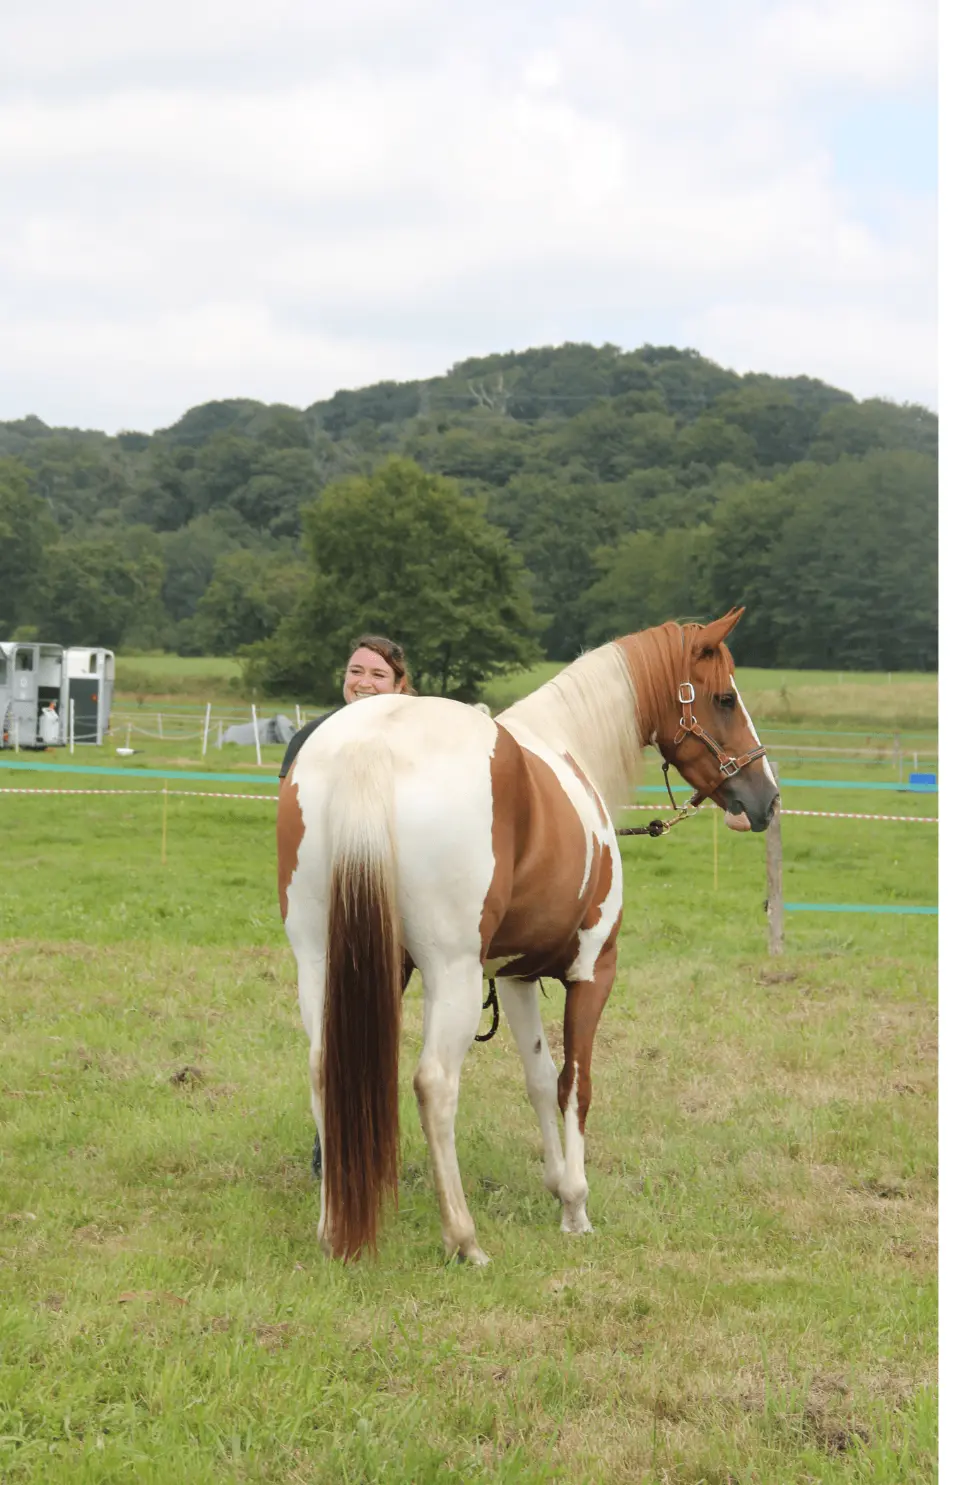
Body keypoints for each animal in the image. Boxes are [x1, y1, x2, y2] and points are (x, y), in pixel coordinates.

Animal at [276, 608, 778, 1259]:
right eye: (724, 698)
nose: (766, 798)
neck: (567, 745)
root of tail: (372, 743)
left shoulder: (512, 977)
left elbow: (538, 1078)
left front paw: (557, 1183)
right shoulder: (593, 970)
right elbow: (574, 1084)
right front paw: (576, 1205)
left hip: (322, 962)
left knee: (323, 1069)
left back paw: (333, 1227)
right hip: (452, 977)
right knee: (435, 1083)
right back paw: (464, 1238)